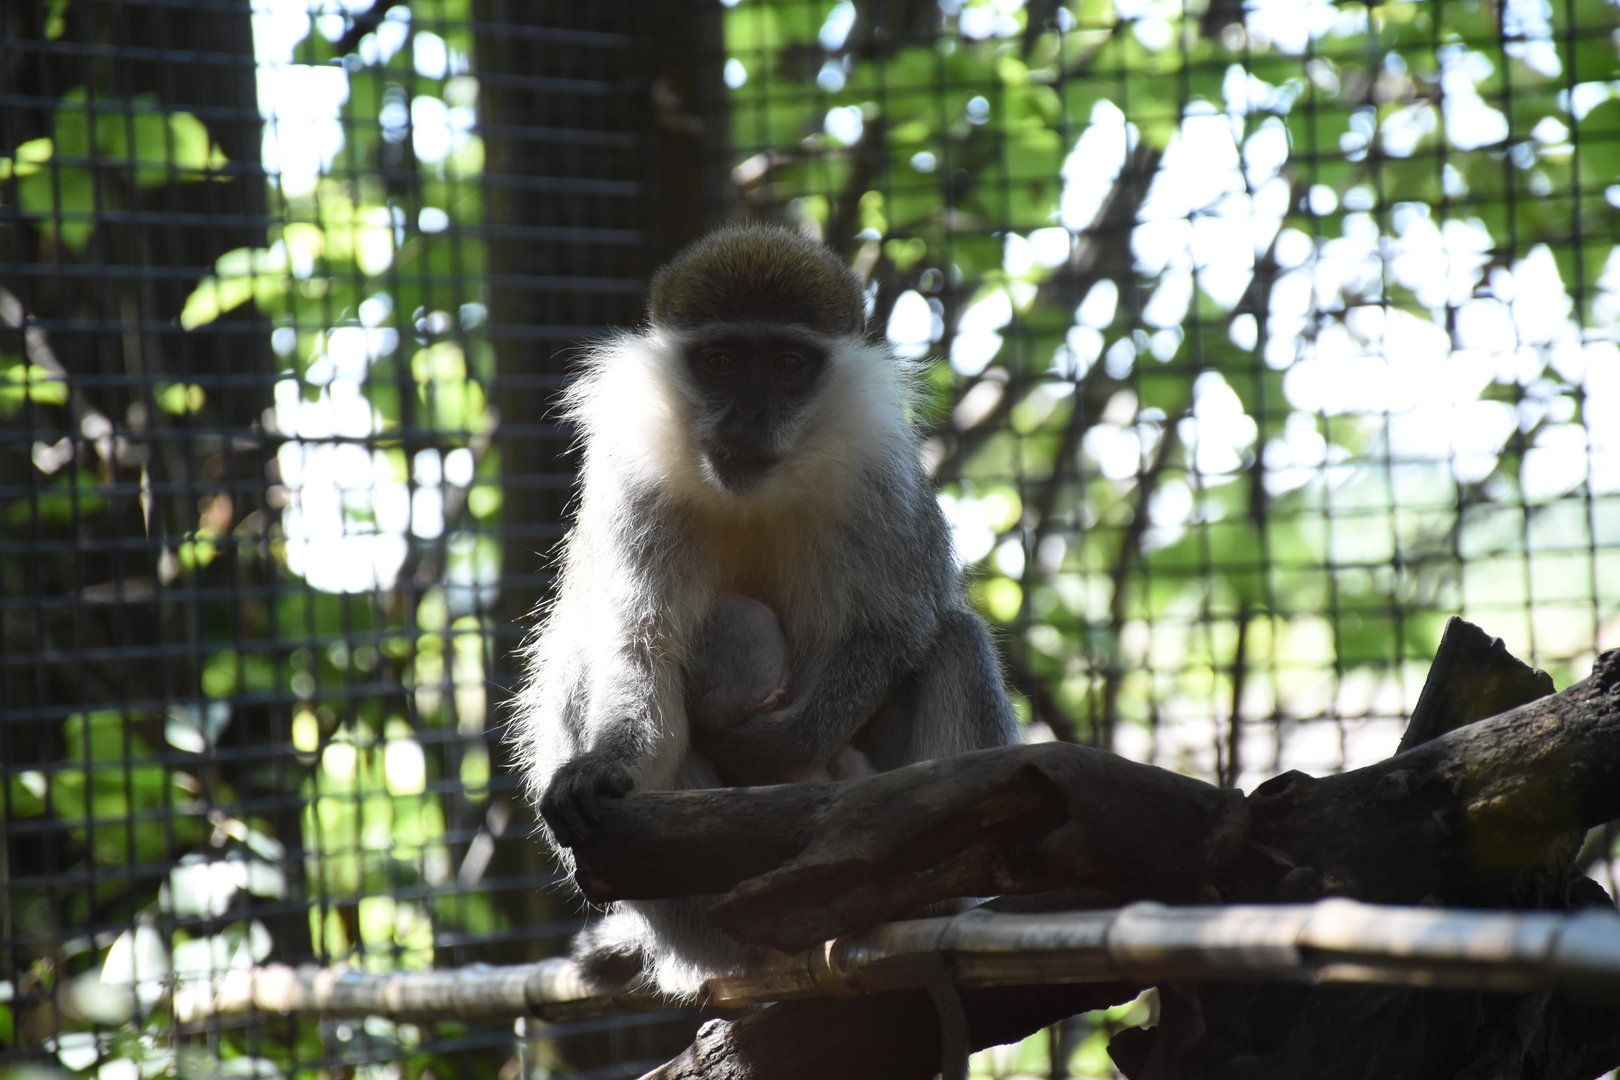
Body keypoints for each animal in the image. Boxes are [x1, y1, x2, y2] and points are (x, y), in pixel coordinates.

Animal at [512, 222, 1019, 999]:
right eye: (720, 362)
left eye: (787, 364)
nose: (747, 418)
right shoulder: (634, 484)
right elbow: (636, 645)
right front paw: (601, 765)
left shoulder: (882, 477)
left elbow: (898, 624)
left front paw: (769, 748)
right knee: (580, 667)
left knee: (953, 637)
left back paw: (922, 894)